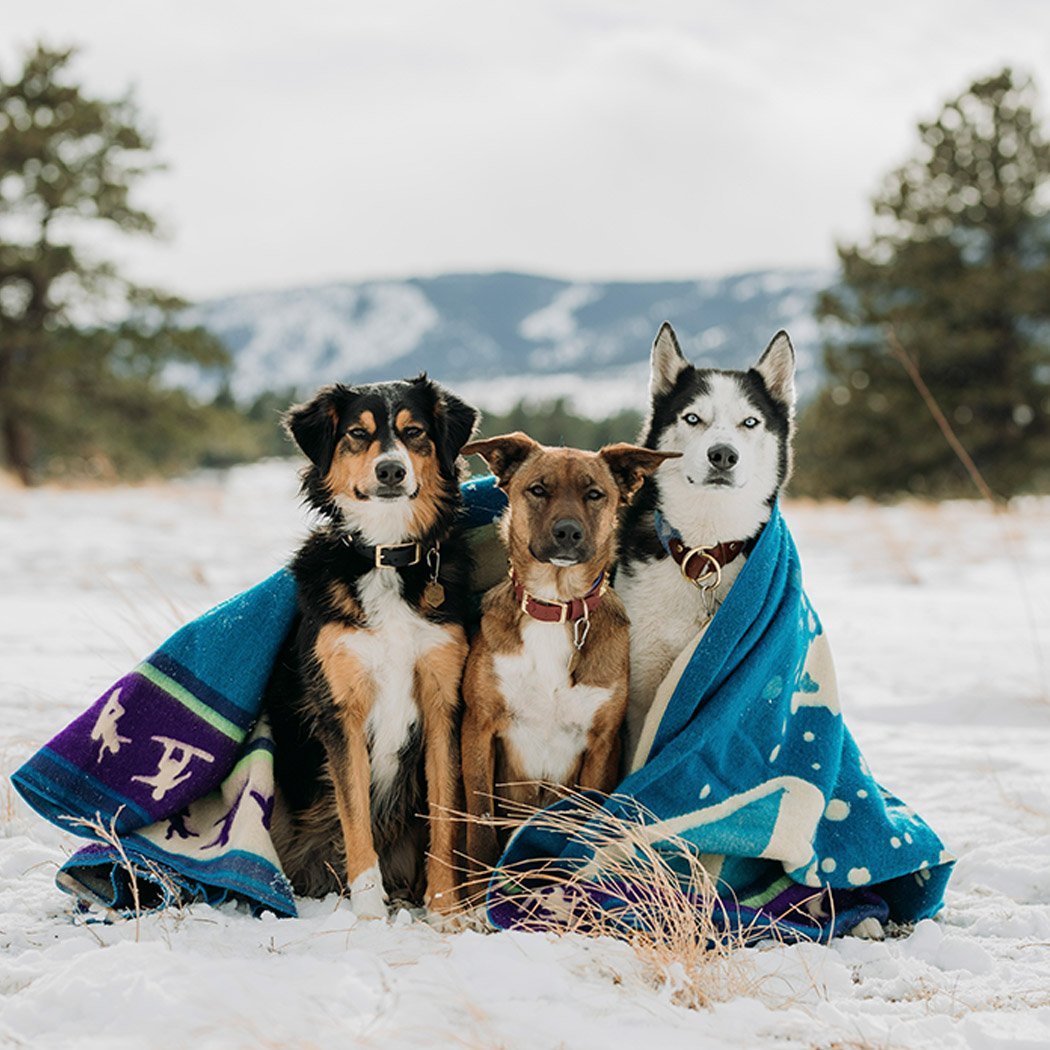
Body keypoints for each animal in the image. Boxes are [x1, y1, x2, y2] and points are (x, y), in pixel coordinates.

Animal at [264, 373, 478, 915]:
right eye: (357, 434)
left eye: (414, 432)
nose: (391, 470)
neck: (386, 555)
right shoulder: (341, 708)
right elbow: (355, 816)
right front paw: (368, 913)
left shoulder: (443, 699)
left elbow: (445, 815)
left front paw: (445, 909)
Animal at [461, 430, 680, 873]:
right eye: (538, 489)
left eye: (595, 494)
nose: (568, 533)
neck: (555, 604)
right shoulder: (479, 727)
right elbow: (481, 828)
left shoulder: (601, 745)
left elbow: (584, 827)